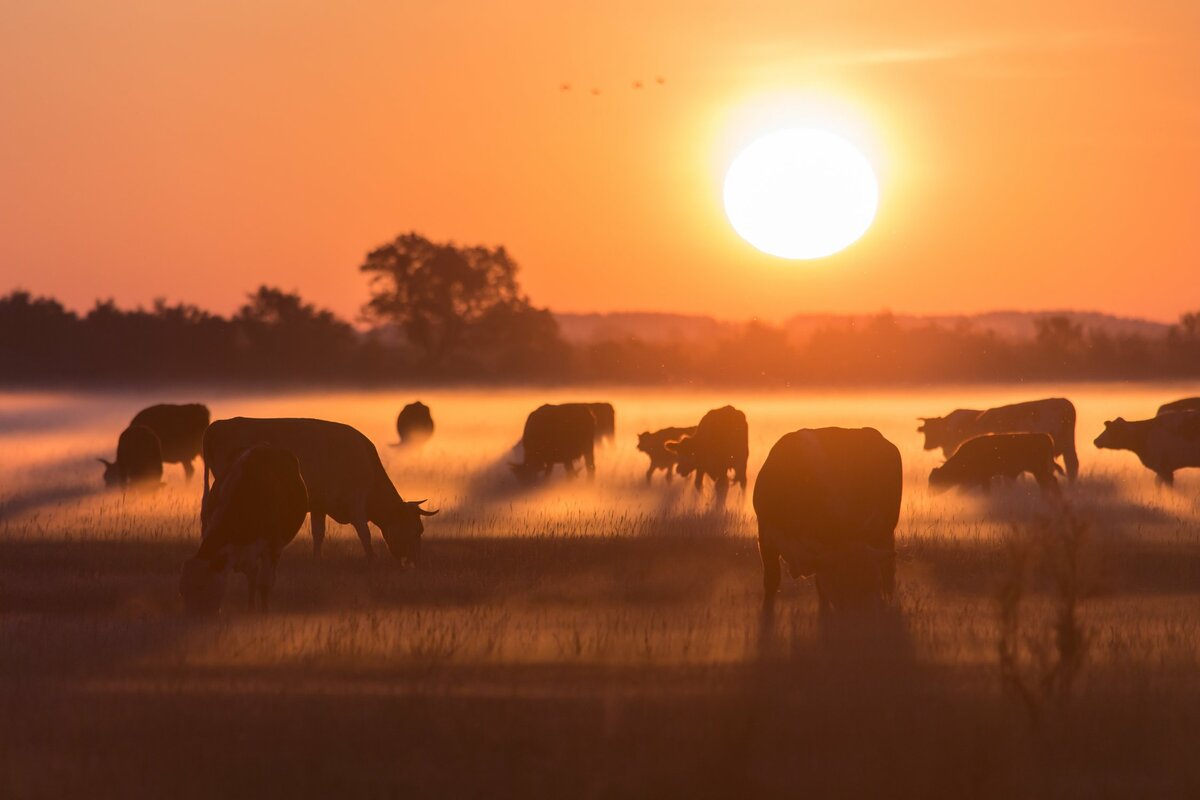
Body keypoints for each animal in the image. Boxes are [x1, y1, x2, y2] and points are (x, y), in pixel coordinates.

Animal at [180, 441, 309, 618]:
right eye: (182, 589)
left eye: (202, 587)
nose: (189, 618)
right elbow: (252, 576)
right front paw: (251, 609)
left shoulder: (272, 545)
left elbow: (264, 583)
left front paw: (264, 612)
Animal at [200, 419, 436, 563]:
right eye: (417, 530)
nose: (414, 562)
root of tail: (217, 425)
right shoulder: (356, 500)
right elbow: (364, 532)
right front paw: (372, 559)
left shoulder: (319, 505)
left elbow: (318, 533)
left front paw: (317, 559)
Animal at [916, 395, 1080, 479]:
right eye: (926, 431)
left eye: (931, 431)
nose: (926, 446)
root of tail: (1064, 403)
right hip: (1068, 444)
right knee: (1072, 463)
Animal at [926, 431, 1060, 494]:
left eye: (934, 481)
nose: (929, 495)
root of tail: (1045, 436)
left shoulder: (983, 479)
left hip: (1040, 471)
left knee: (1048, 483)